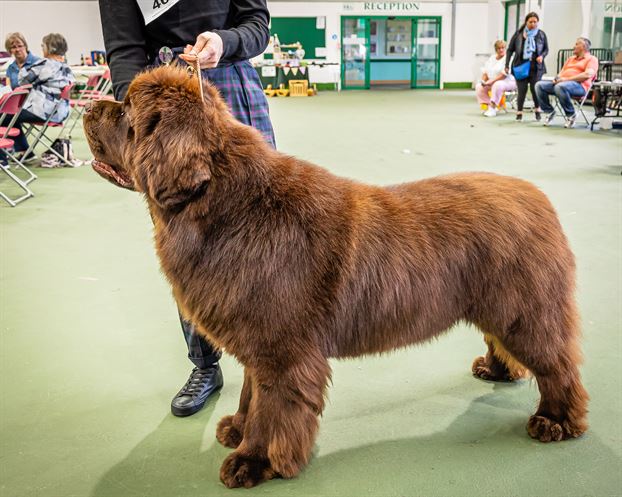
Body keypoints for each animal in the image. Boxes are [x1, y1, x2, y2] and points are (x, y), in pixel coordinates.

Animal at [84, 66, 588, 488]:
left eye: (126, 110)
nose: (88, 106)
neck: (225, 209)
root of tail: (538, 196)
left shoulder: (282, 351)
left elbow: (271, 409)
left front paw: (253, 461)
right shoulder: (254, 338)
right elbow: (250, 394)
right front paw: (238, 430)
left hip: (526, 311)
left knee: (557, 365)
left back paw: (556, 421)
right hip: (497, 306)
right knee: (503, 341)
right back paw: (497, 370)